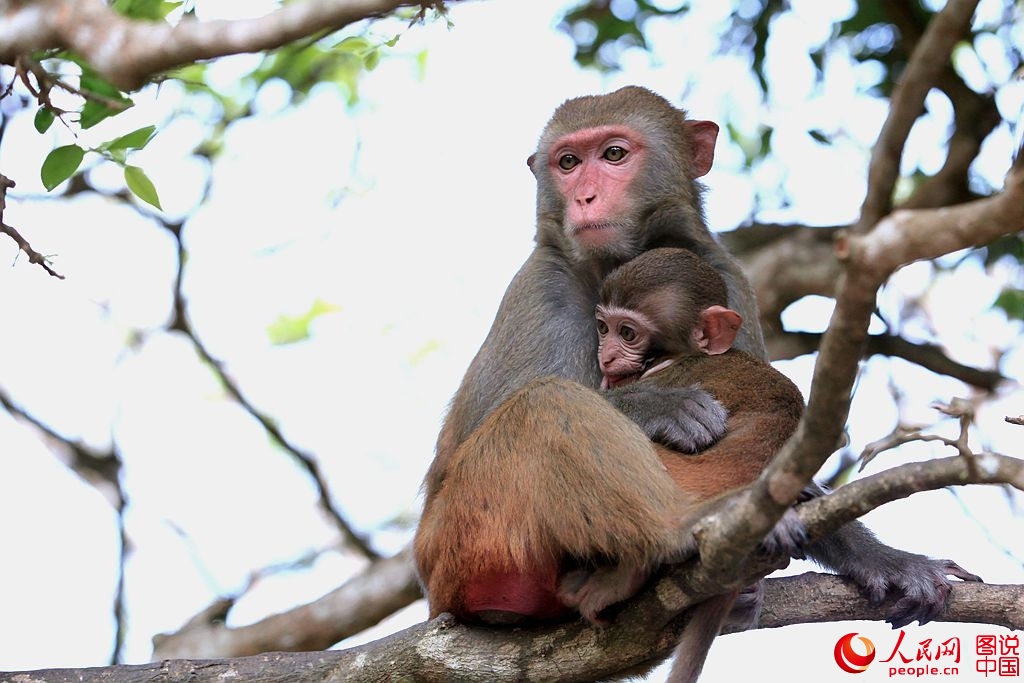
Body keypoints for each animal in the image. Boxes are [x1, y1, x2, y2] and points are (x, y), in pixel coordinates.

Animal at [413, 85, 974, 647]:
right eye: (568, 163)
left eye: (613, 154)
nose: (584, 197)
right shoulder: (541, 289)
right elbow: (469, 442)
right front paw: (661, 405)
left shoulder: (728, 274)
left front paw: (881, 558)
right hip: (459, 547)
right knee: (543, 405)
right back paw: (679, 528)